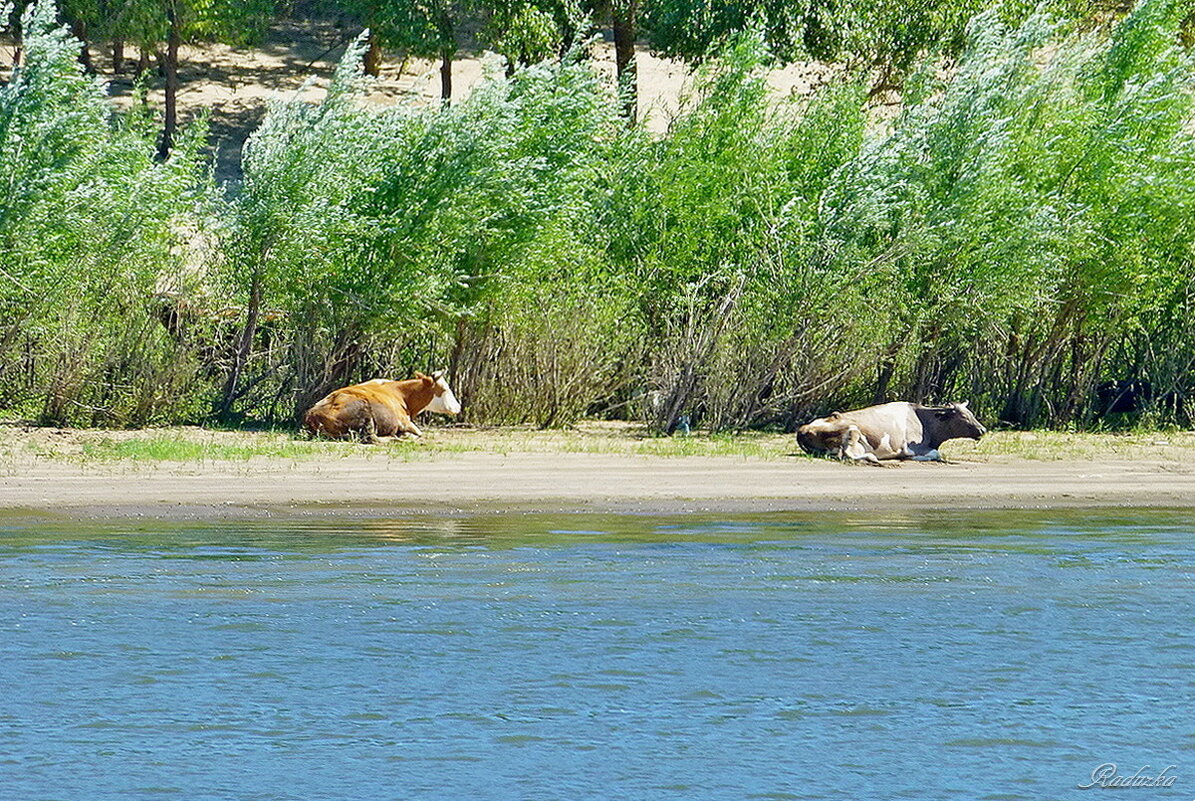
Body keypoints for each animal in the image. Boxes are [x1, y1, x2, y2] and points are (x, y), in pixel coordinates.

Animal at [303, 373, 461, 442]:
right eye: (445, 389)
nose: (458, 407)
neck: (402, 395)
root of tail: (312, 413)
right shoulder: (405, 422)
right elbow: (419, 432)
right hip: (365, 412)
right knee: (372, 438)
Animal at [798, 401, 984, 463]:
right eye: (963, 416)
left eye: (971, 413)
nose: (983, 429)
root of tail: (802, 429)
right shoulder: (911, 447)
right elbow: (935, 454)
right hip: (853, 431)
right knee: (848, 454)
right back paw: (874, 458)